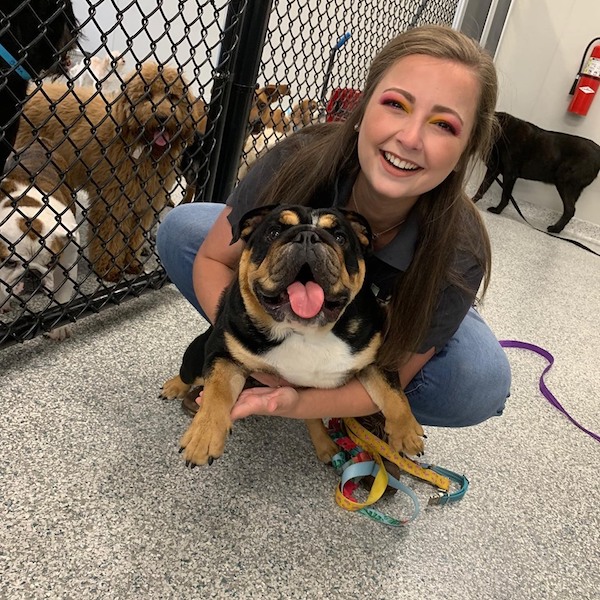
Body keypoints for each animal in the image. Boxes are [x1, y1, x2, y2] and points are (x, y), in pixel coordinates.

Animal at [17, 62, 197, 282]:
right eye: (147, 95)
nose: (162, 117)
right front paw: (109, 269)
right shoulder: (113, 203)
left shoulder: (144, 204)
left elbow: (135, 238)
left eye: (171, 96)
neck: (143, 145)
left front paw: (131, 264)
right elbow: (110, 238)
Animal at [159, 206, 422, 468]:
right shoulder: (223, 353)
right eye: (274, 232)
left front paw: (406, 431)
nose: (307, 236)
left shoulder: (373, 358)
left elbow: (392, 390)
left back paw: (325, 445)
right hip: (197, 355)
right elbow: (217, 391)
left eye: (340, 237)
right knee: (189, 373)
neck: (303, 332)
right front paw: (203, 435)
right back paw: (174, 386)